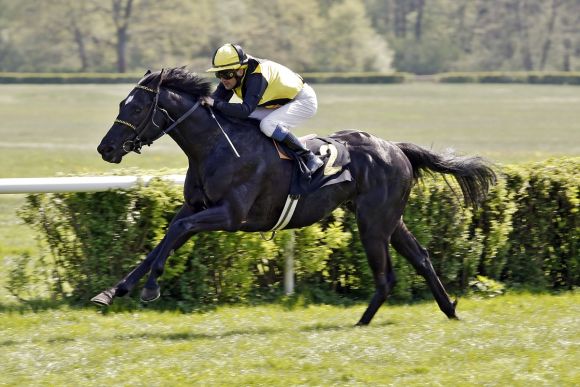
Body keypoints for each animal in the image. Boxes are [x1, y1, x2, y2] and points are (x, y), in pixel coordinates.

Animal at [93, 68, 496, 326]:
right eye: (121, 104)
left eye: (137, 108)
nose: (105, 148)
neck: (215, 146)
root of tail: (396, 148)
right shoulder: (195, 207)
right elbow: (164, 239)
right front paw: (113, 291)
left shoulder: (231, 215)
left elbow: (176, 234)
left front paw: (149, 288)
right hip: (389, 219)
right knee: (422, 258)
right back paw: (449, 310)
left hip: (373, 222)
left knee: (387, 277)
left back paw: (362, 323)